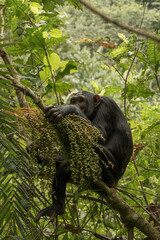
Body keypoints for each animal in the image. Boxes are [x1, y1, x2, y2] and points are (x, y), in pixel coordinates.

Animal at [32, 91, 132, 222]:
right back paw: (57, 207)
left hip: (110, 174)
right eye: (73, 100)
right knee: (63, 170)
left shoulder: (106, 106)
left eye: (81, 100)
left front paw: (67, 109)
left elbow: (98, 134)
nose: (75, 104)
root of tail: (115, 183)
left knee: (94, 147)